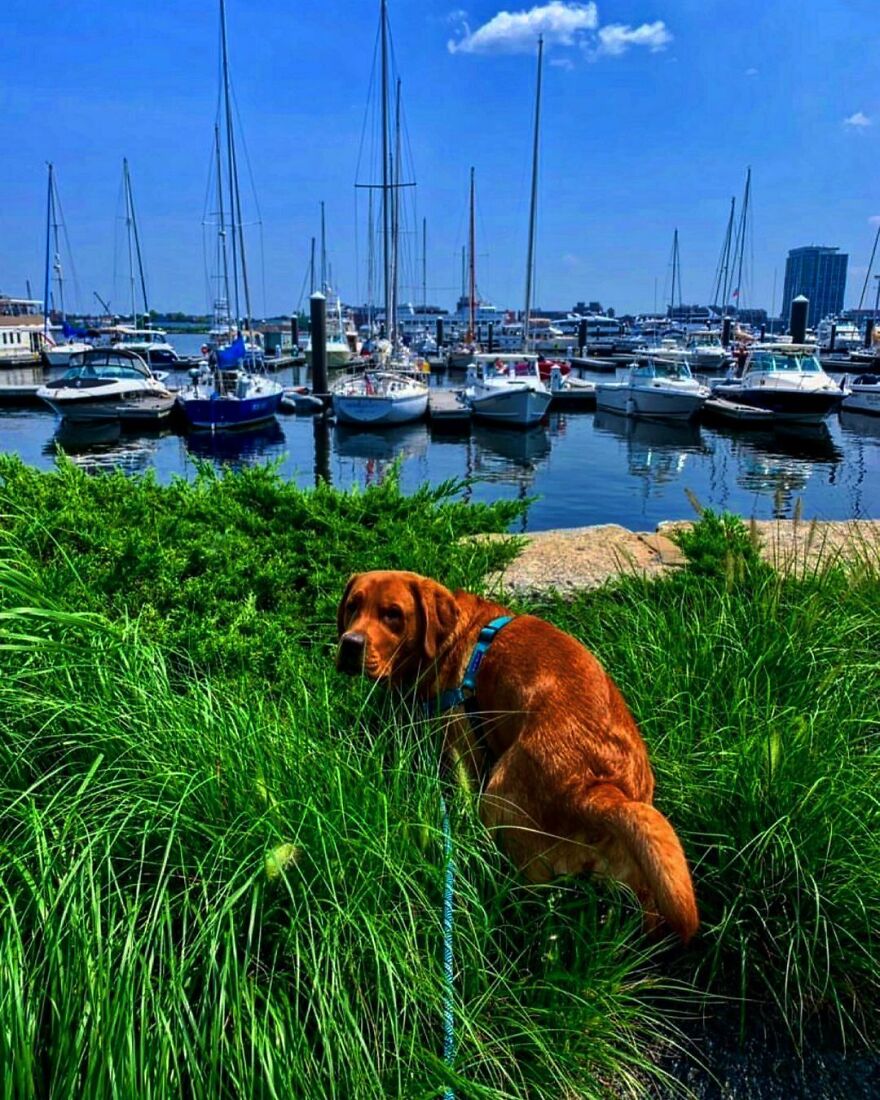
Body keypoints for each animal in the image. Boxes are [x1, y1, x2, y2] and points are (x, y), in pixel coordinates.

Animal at [336, 572, 699, 941]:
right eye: (353, 606)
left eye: (393, 614)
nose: (350, 644)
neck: (451, 641)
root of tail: (594, 788)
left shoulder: (461, 747)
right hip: (644, 877)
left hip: (499, 801)